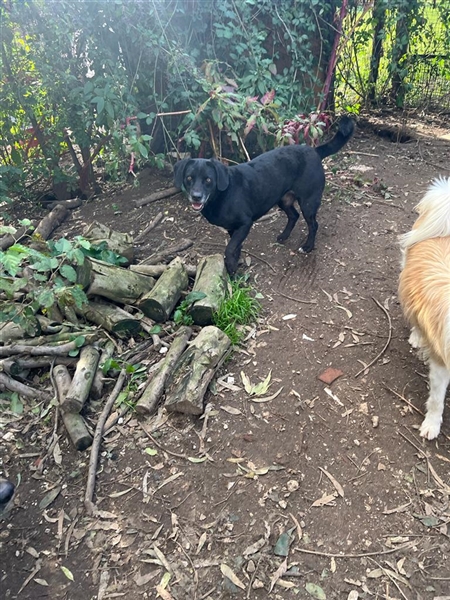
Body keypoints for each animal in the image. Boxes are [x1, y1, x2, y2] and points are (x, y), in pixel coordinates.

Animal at [174, 116, 355, 275]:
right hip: (283, 200)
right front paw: (235, 270)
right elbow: (235, 248)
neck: (221, 195)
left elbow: (230, 248)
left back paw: (307, 246)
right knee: (294, 215)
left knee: (313, 225)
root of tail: (315, 151)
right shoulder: (234, 229)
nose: (196, 196)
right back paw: (283, 236)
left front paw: (231, 268)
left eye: (208, 180)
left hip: (308, 203)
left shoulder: (245, 223)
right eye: (189, 178)